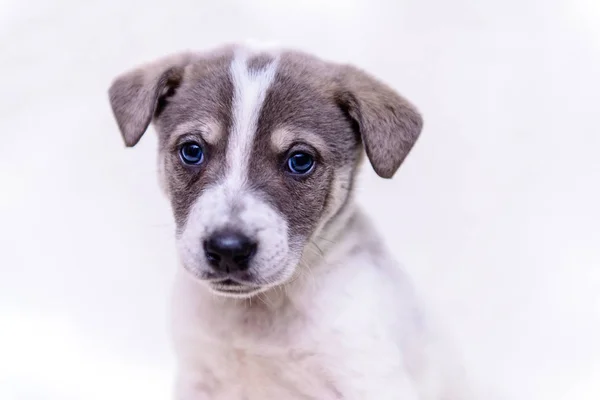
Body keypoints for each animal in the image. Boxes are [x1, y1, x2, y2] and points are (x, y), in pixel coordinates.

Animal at [109, 43, 474, 400]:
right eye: (192, 151)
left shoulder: (370, 379)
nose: (228, 250)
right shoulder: (198, 377)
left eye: (300, 160)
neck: (261, 310)